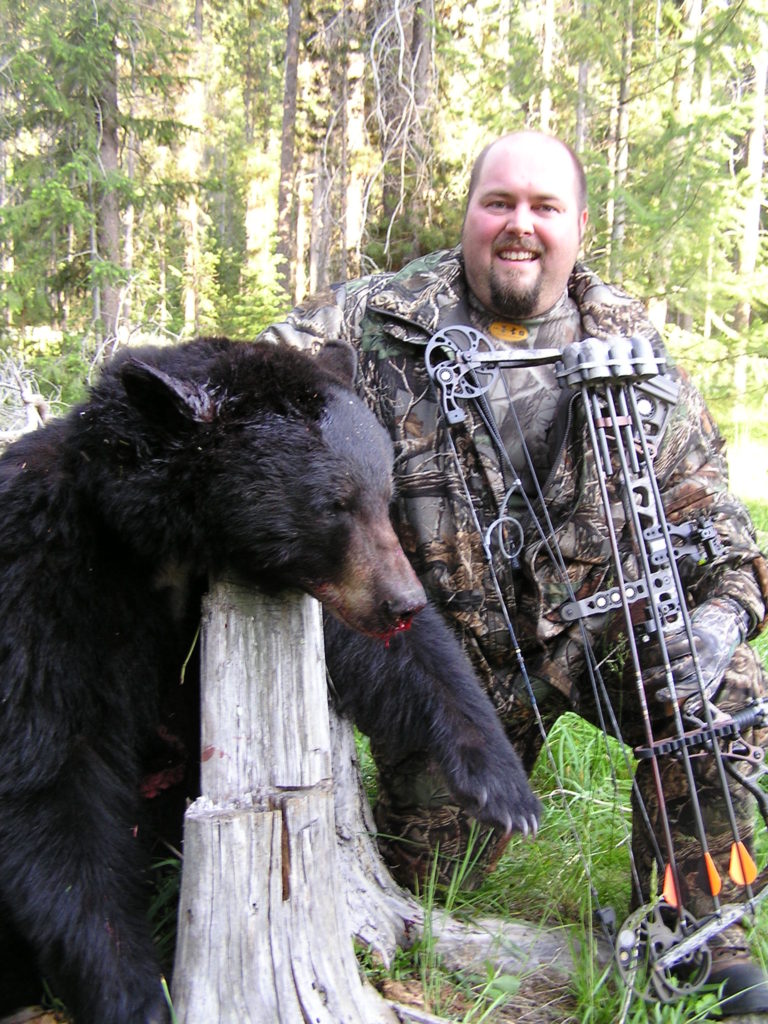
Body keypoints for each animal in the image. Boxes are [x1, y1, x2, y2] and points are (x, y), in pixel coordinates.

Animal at [0, 336, 538, 1024]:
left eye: (385, 492)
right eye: (334, 504)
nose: (404, 601)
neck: (164, 546)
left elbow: (403, 660)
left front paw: (505, 788)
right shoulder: (45, 567)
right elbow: (54, 763)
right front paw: (135, 990)